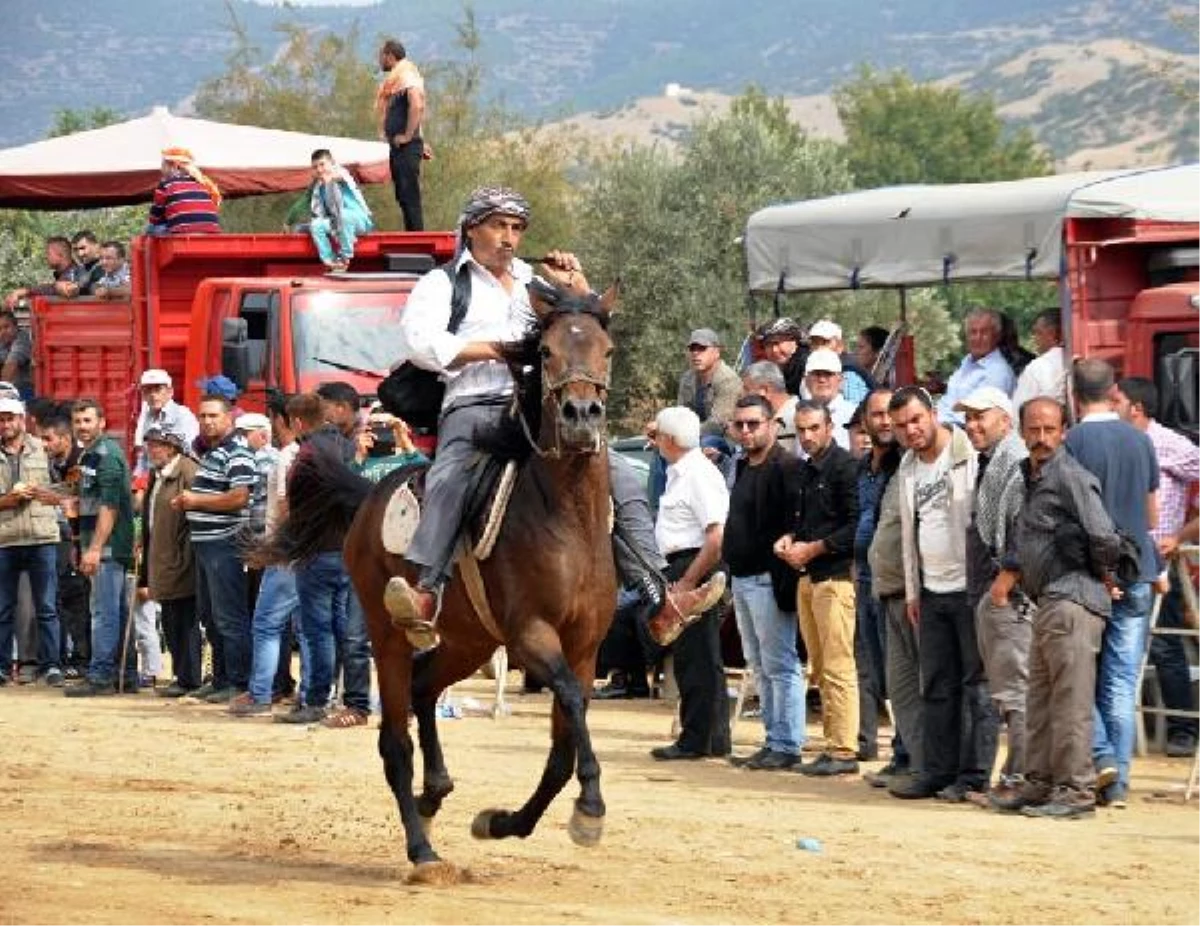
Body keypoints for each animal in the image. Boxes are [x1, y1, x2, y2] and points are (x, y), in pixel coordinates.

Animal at [280, 280, 619, 882]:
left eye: (607, 350)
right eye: (547, 351)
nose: (582, 414)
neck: (567, 520)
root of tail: (369, 494)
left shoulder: (584, 646)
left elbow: (562, 747)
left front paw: (504, 822)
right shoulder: (532, 635)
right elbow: (571, 706)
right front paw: (591, 809)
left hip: (469, 641)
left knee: (424, 688)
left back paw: (434, 792)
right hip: (389, 634)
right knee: (395, 742)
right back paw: (422, 850)